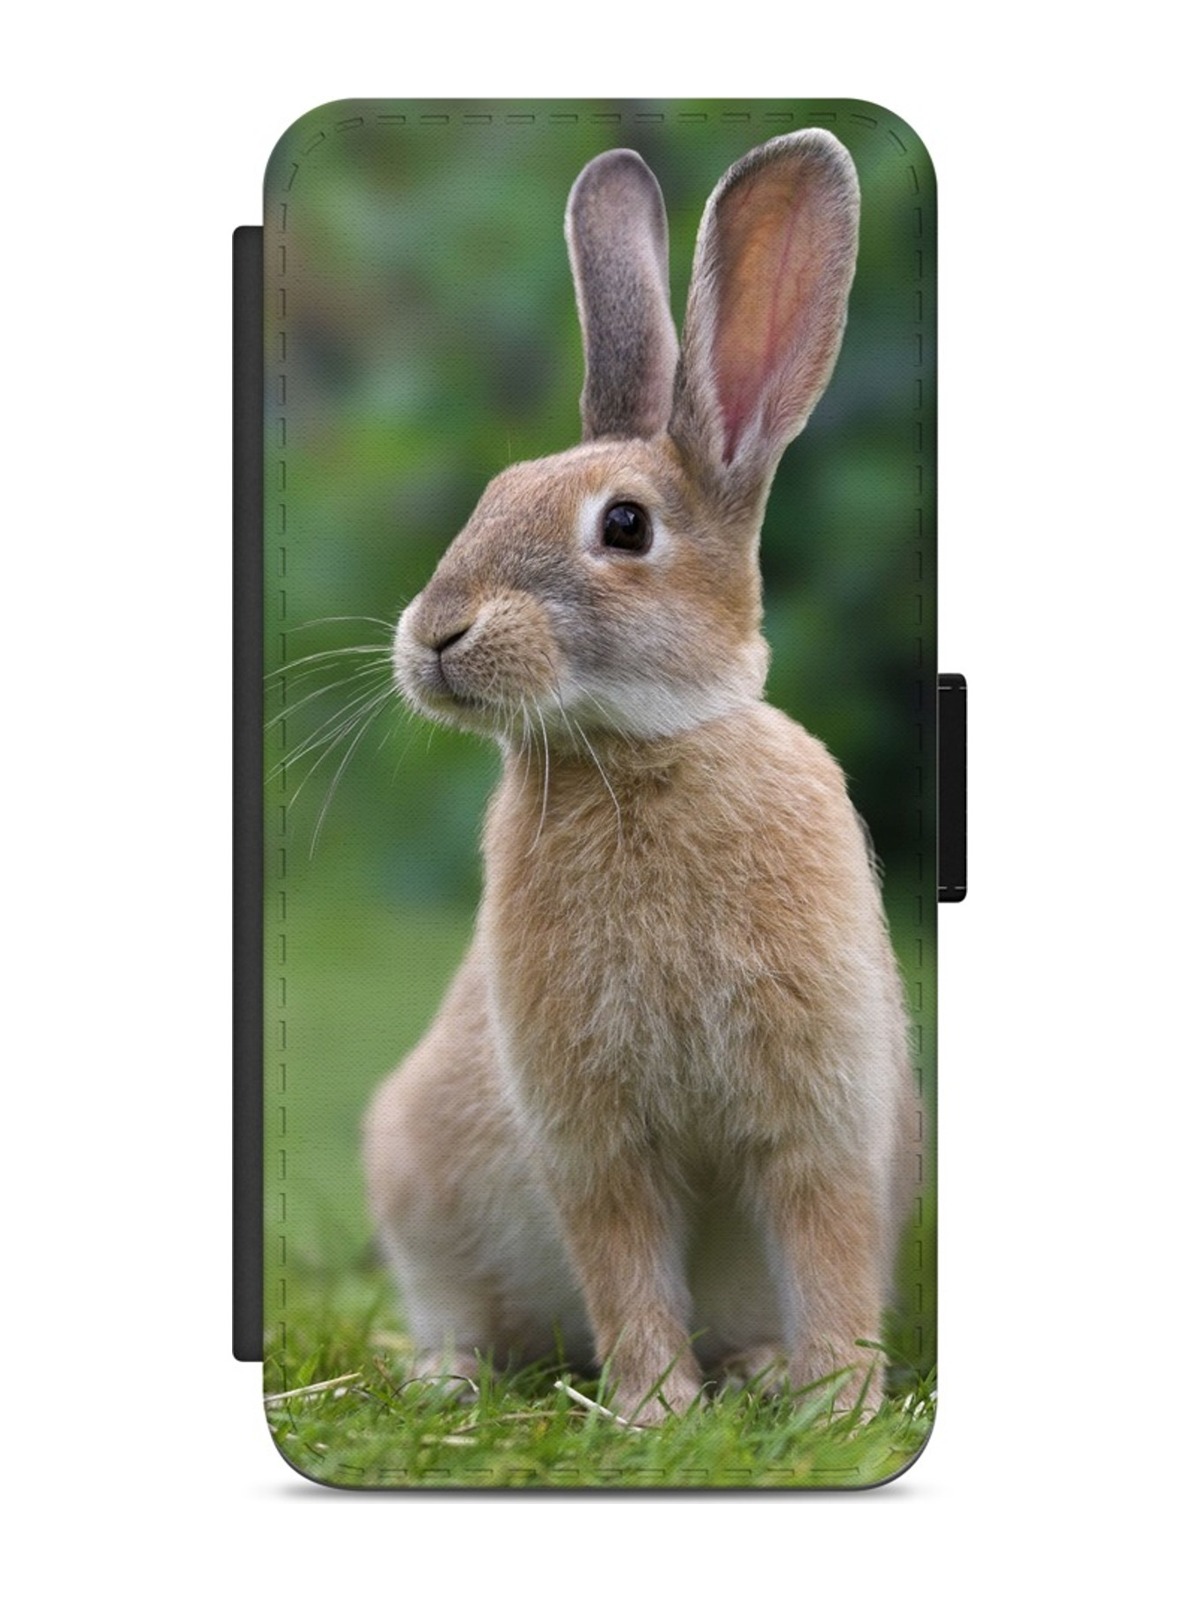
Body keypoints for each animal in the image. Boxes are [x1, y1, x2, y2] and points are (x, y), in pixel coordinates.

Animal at [363, 130, 919, 1424]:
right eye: (490, 496)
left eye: (625, 527)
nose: (435, 635)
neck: (641, 751)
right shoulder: (593, 1132)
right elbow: (623, 1264)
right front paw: (656, 1409)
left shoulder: (821, 1110)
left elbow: (826, 1247)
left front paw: (838, 1405)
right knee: (460, 1309)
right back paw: (448, 1380)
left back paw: (761, 1370)